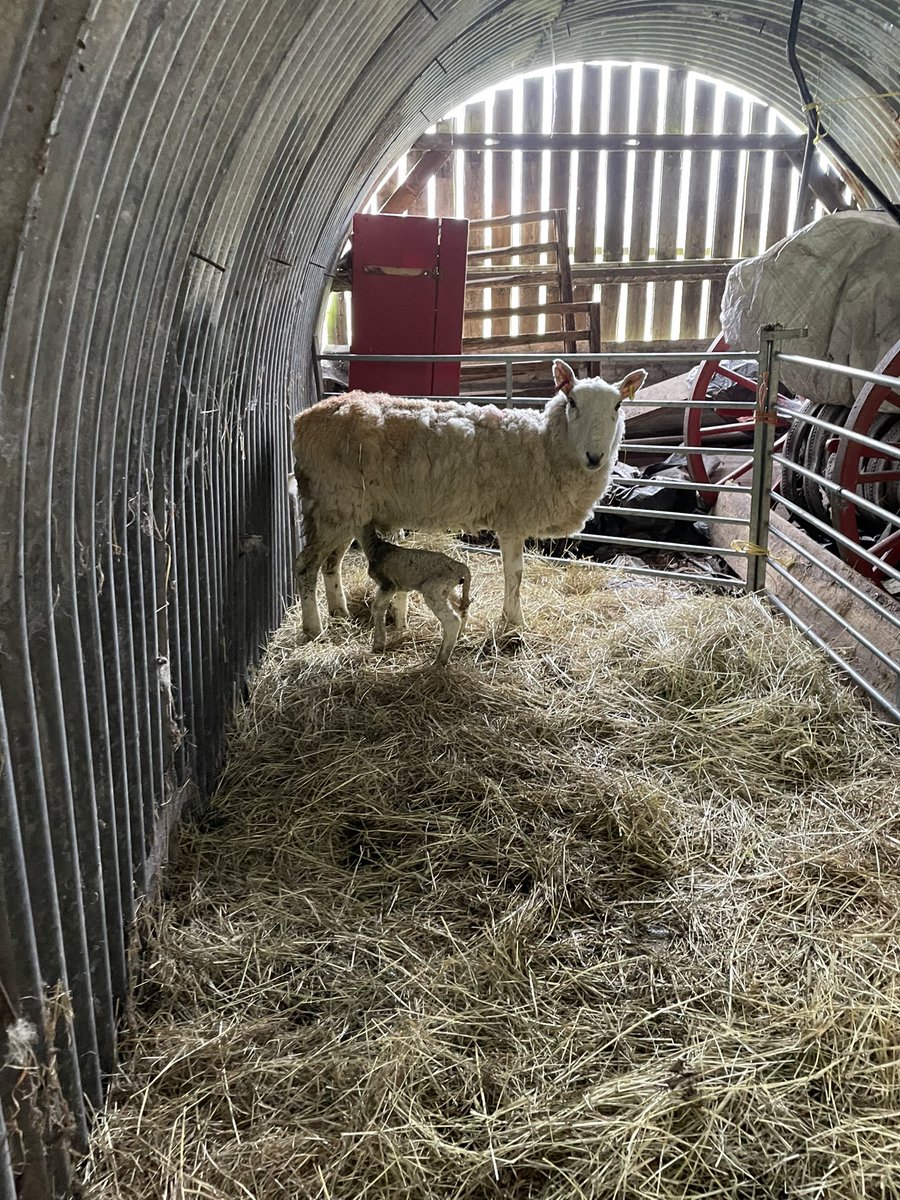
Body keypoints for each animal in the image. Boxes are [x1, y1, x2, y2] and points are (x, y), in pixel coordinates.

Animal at [292, 358, 647, 636]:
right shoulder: (511, 520)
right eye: (572, 402)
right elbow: (514, 574)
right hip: (330, 503)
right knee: (306, 567)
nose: (594, 457)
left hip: (346, 509)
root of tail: (302, 420)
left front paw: (511, 620)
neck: (544, 446)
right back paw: (313, 628)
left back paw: (340, 613)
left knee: (331, 564)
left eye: (618, 406)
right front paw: (514, 622)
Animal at [359, 523, 471, 665]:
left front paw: (378, 644)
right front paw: (402, 629)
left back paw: (441, 660)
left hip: (433, 590)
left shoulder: (388, 584)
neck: (375, 547)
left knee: (453, 620)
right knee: (463, 607)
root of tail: (460, 567)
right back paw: (461, 635)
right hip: (447, 589)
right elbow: (401, 606)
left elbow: (378, 608)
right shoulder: (400, 586)